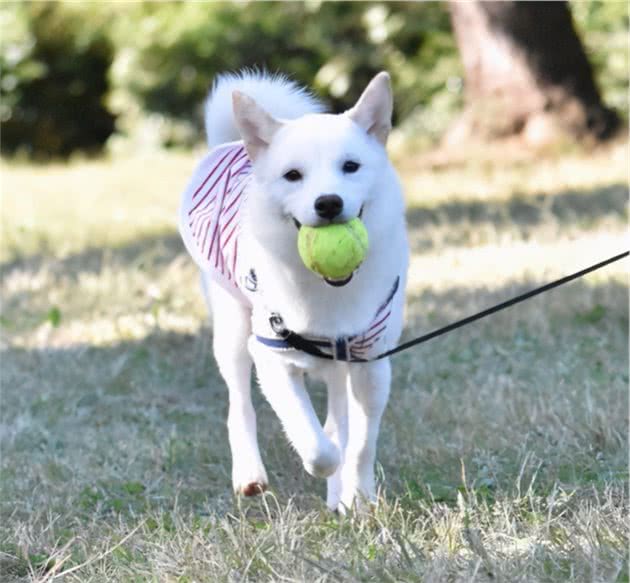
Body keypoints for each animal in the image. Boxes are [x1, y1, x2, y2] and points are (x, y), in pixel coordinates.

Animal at [180, 72, 412, 512]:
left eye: (351, 167)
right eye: (292, 175)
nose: (328, 203)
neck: (329, 293)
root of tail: (235, 146)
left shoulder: (372, 362)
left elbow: (360, 441)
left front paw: (358, 496)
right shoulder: (271, 355)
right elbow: (318, 443)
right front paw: (329, 469)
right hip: (233, 330)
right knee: (240, 404)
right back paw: (250, 475)